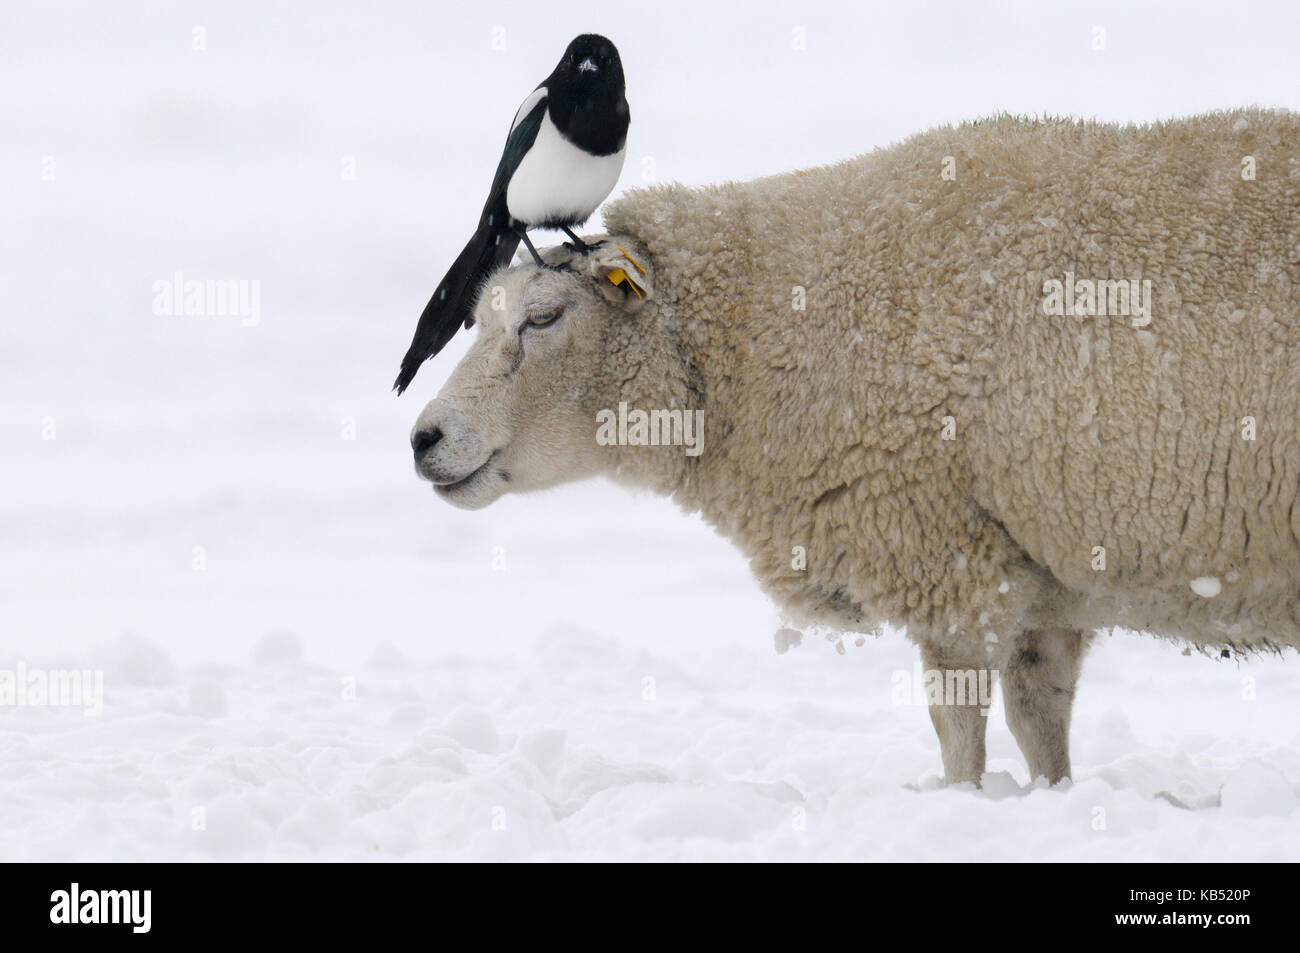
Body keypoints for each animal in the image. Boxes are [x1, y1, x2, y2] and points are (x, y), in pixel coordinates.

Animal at [410, 107, 1300, 785]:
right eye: (480, 318)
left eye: (543, 319)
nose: (424, 437)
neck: (755, 342)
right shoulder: (1037, 576)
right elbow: (1039, 722)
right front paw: (1053, 800)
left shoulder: (944, 555)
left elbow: (958, 726)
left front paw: (961, 804)